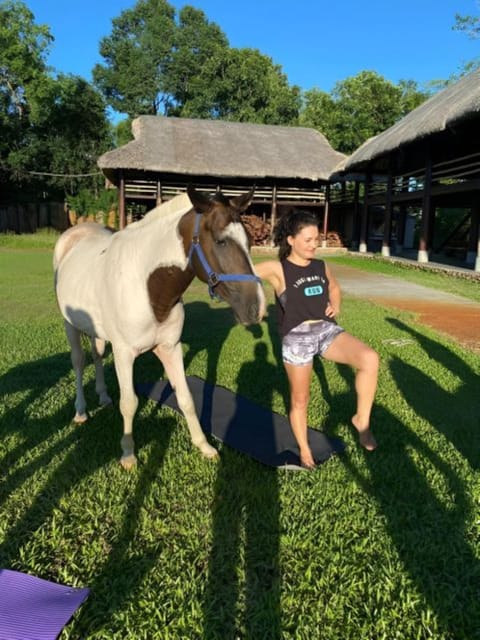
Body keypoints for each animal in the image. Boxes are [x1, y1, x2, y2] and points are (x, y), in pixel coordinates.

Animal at [54, 185, 268, 470]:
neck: (148, 288)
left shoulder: (170, 348)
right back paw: (80, 410)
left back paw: (103, 397)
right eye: (220, 241)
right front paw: (128, 454)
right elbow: (129, 403)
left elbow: (186, 398)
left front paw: (204, 446)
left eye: (250, 242)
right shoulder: (124, 355)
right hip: (70, 326)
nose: (257, 308)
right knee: (78, 362)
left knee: (97, 356)